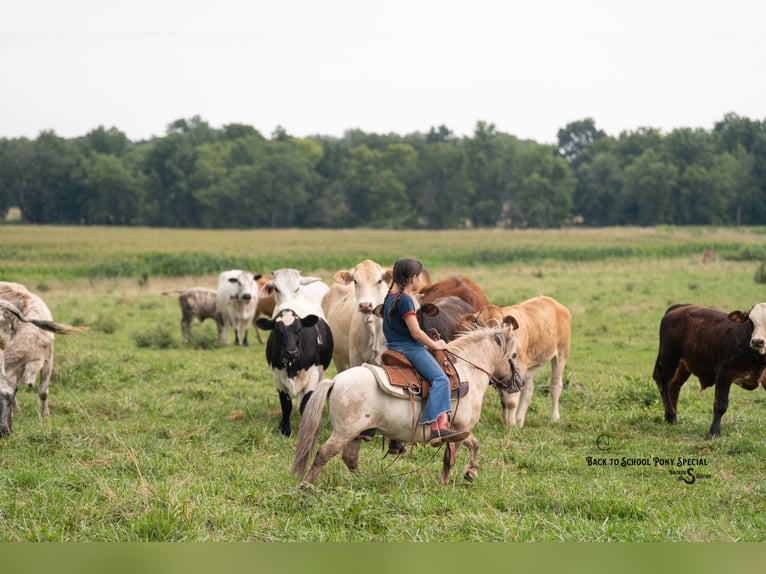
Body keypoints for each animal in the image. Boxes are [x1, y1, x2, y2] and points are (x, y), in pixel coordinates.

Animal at [291, 316, 524, 486]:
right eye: (514, 354)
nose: (519, 382)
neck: (467, 371)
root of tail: (336, 381)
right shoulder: (460, 429)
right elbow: (465, 449)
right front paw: (465, 474)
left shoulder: (457, 430)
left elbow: (460, 452)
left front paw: (455, 478)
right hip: (344, 432)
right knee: (324, 453)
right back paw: (306, 486)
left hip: (356, 433)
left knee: (350, 458)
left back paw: (367, 481)